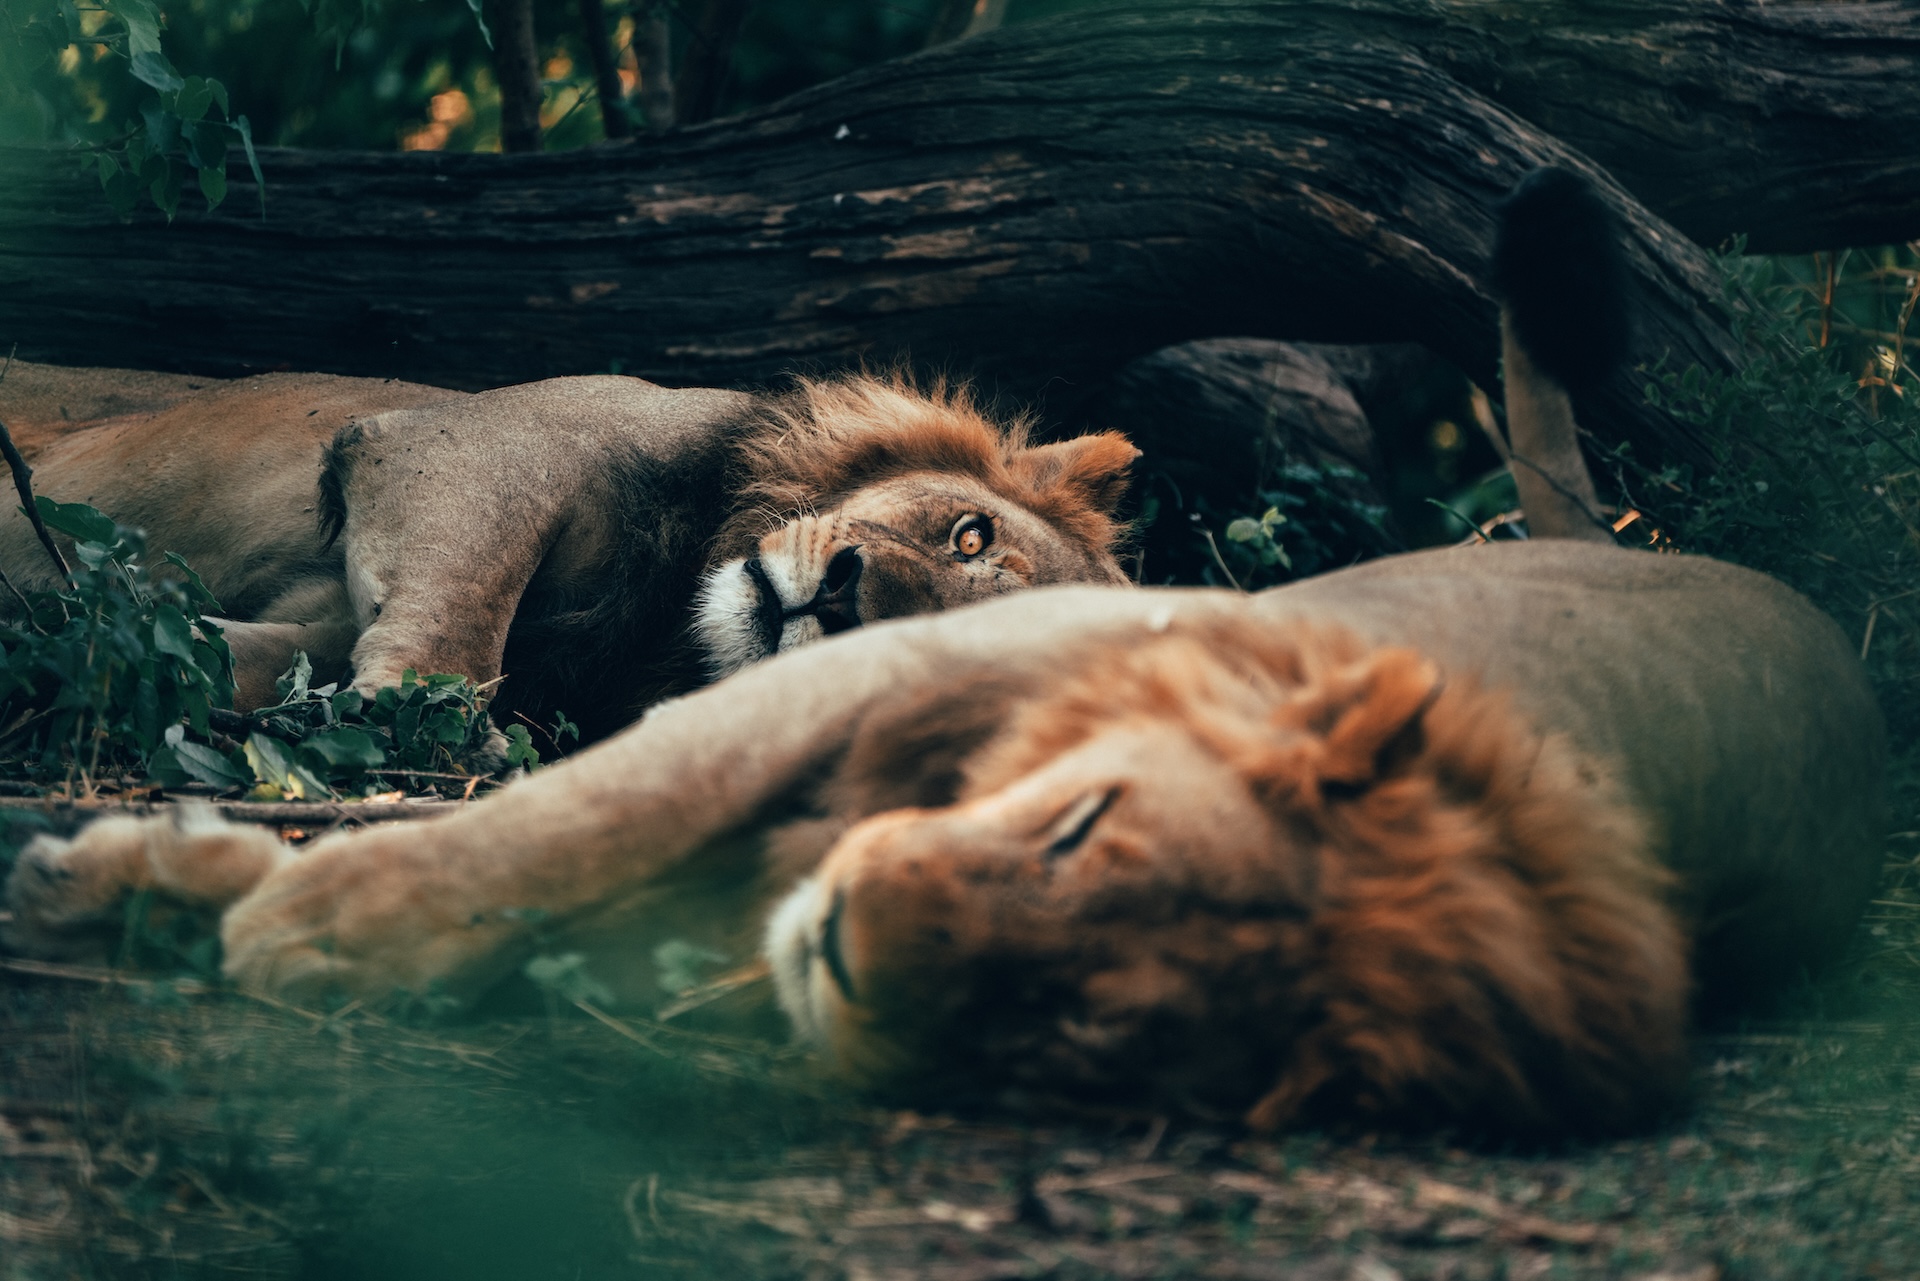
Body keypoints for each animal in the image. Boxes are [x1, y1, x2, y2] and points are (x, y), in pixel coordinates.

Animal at [0, 366, 1138, 738]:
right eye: (970, 534)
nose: (842, 596)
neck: (665, 627)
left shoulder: (310, 624)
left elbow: (204, 652)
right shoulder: (469, 442)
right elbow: (464, 640)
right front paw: (401, 717)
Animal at [2, 540, 1885, 1136]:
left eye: (1081, 1035)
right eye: (1082, 827)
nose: (850, 943)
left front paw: (209, 902)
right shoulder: (864, 678)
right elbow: (564, 819)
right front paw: (239, 900)